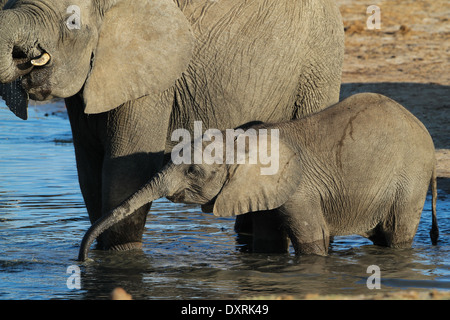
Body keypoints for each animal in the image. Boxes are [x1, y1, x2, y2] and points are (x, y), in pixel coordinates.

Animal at [0, 0, 344, 252]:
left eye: (70, 22)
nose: (23, 60)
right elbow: (88, 171)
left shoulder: (151, 77)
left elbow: (126, 171)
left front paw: (119, 260)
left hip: (318, 67)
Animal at [78, 92, 440, 260]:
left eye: (194, 171)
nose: (82, 261)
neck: (243, 142)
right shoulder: (261, 188)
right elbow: (268, 243)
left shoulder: (299, 189)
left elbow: (313, 241)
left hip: (410, 176)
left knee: (397, 232)